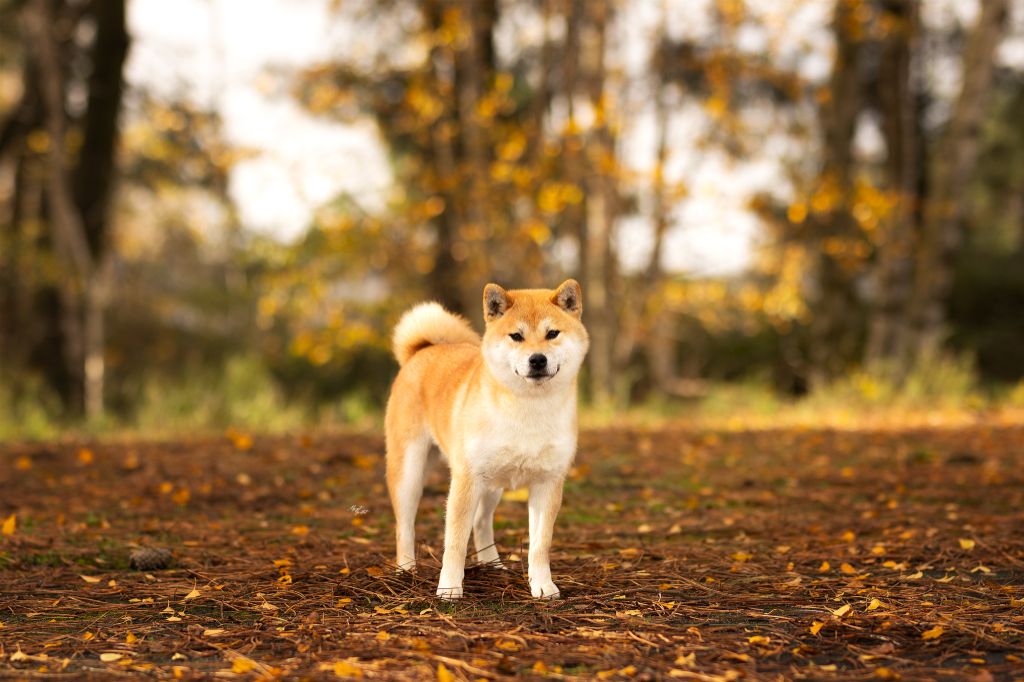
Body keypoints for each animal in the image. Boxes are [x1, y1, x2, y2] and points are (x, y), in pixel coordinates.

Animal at [385, 278, 593, 598]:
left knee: (482, 522)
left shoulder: (548, 482)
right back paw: (406, 569)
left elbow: (539, 545)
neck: (528, 409)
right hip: (410, 472)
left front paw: (543, 586)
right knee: (404, 525)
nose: (537, 359)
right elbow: (455, 543)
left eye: (552, 334)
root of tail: (421, 350)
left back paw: (491, 564)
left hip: (492, 484)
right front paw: (449, 589)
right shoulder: (466, 479)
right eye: (516, 336)